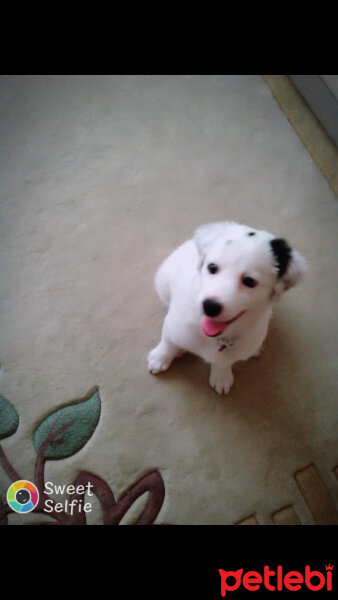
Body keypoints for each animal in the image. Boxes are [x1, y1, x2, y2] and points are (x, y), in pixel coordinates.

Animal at [147, 220, 306, 394]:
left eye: (249, 281)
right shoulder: (174, 323)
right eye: (212, 267)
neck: (217, 338)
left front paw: (221, 376)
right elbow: (168, 341)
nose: (209, 306)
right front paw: (160, 358)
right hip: (162, 283)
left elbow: (225, 361)